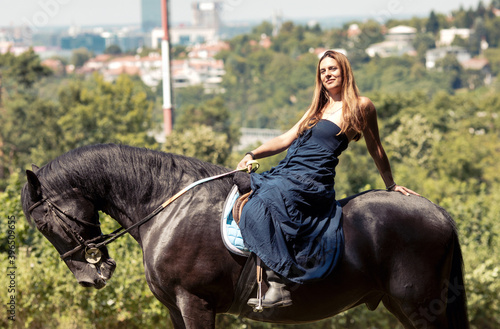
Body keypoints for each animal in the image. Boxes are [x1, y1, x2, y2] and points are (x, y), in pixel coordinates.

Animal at [21, 144, 468, 328]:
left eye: (42, 224)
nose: (88, 277)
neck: (169, 207)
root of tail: (439, 212)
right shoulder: (175, 308)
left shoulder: (195, 303)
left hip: (418, 306)